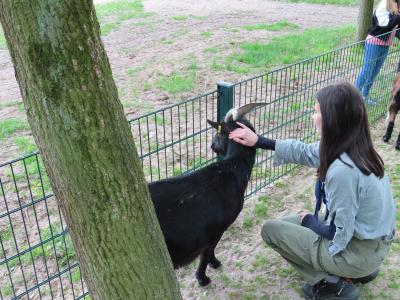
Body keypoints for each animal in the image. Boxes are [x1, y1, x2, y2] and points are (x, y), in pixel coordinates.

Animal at [147, 103, 262, 286]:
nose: (212, 146)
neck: (232, 168)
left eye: (218, 133)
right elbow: (207, 252)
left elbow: (210, 250)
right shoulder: (215, 230)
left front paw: (212, 266)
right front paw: (203, 277)